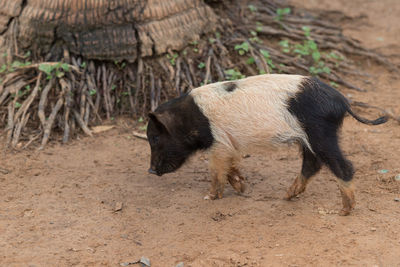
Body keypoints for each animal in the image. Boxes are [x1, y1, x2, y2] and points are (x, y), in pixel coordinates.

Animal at [146, 74, 388, 217]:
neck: (190, 120)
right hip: (310, 137)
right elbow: (231, 166)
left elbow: (215, 170)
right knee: (312, 163)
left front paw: (210, 197)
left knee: (343, 165)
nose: (150, 170)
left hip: (320, 133)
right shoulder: (228, 143)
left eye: (155, 138)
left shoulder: (218, 142)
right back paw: (288, 195)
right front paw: (241, 188)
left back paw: (343, 210)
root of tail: (342, 102)